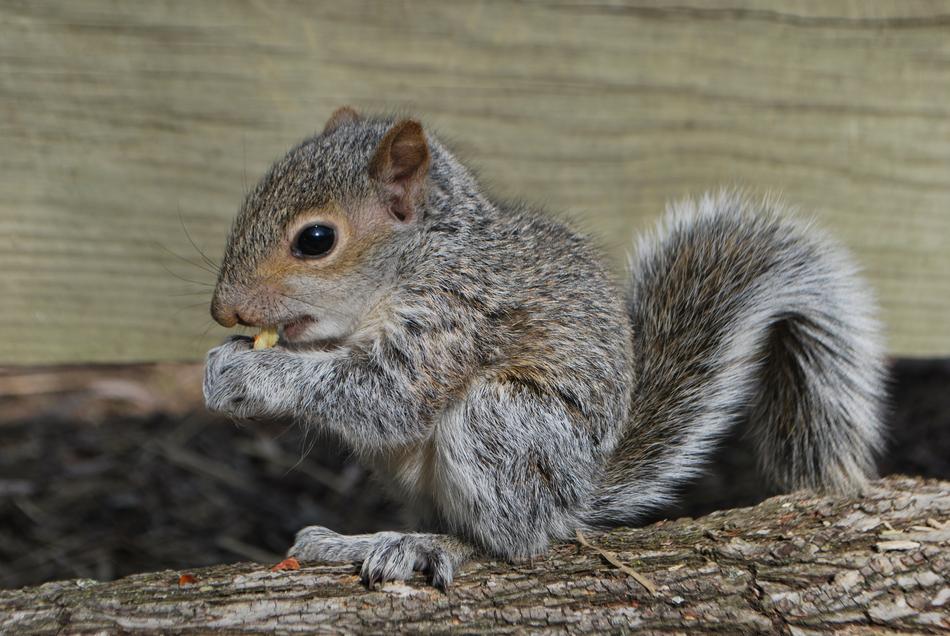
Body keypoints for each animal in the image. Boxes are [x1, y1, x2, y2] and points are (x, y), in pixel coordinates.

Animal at [203, 106, 886, 589]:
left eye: (316, 240)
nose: (223, 310)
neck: (416, 262)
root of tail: (575, 496)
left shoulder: (456, 319)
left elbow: (388, 397)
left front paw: (251, 374)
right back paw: (355, 541)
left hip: (503, 423)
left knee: (510, 539)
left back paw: (427, 547)